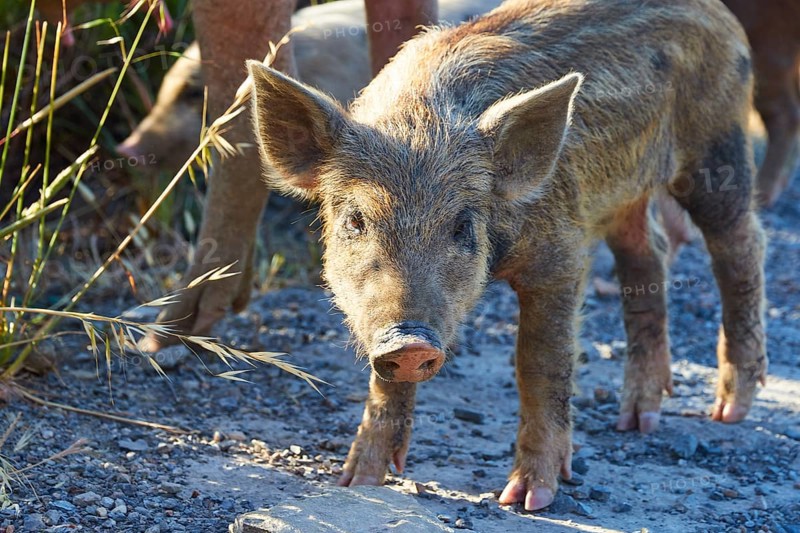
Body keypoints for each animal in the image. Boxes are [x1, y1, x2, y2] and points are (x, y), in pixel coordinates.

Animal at [248, 0, 767, 511]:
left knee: (741, 245)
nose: (410, 342)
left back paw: (728, 411)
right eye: (356, 220)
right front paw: (356, 482)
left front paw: (527, 499)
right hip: (626, 194)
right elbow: (385, 382)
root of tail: (721, 14)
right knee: (647, 257)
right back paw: (637, 421)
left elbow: (540, 363)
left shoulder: (560, 254)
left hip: (717, 147)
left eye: (461, 225)